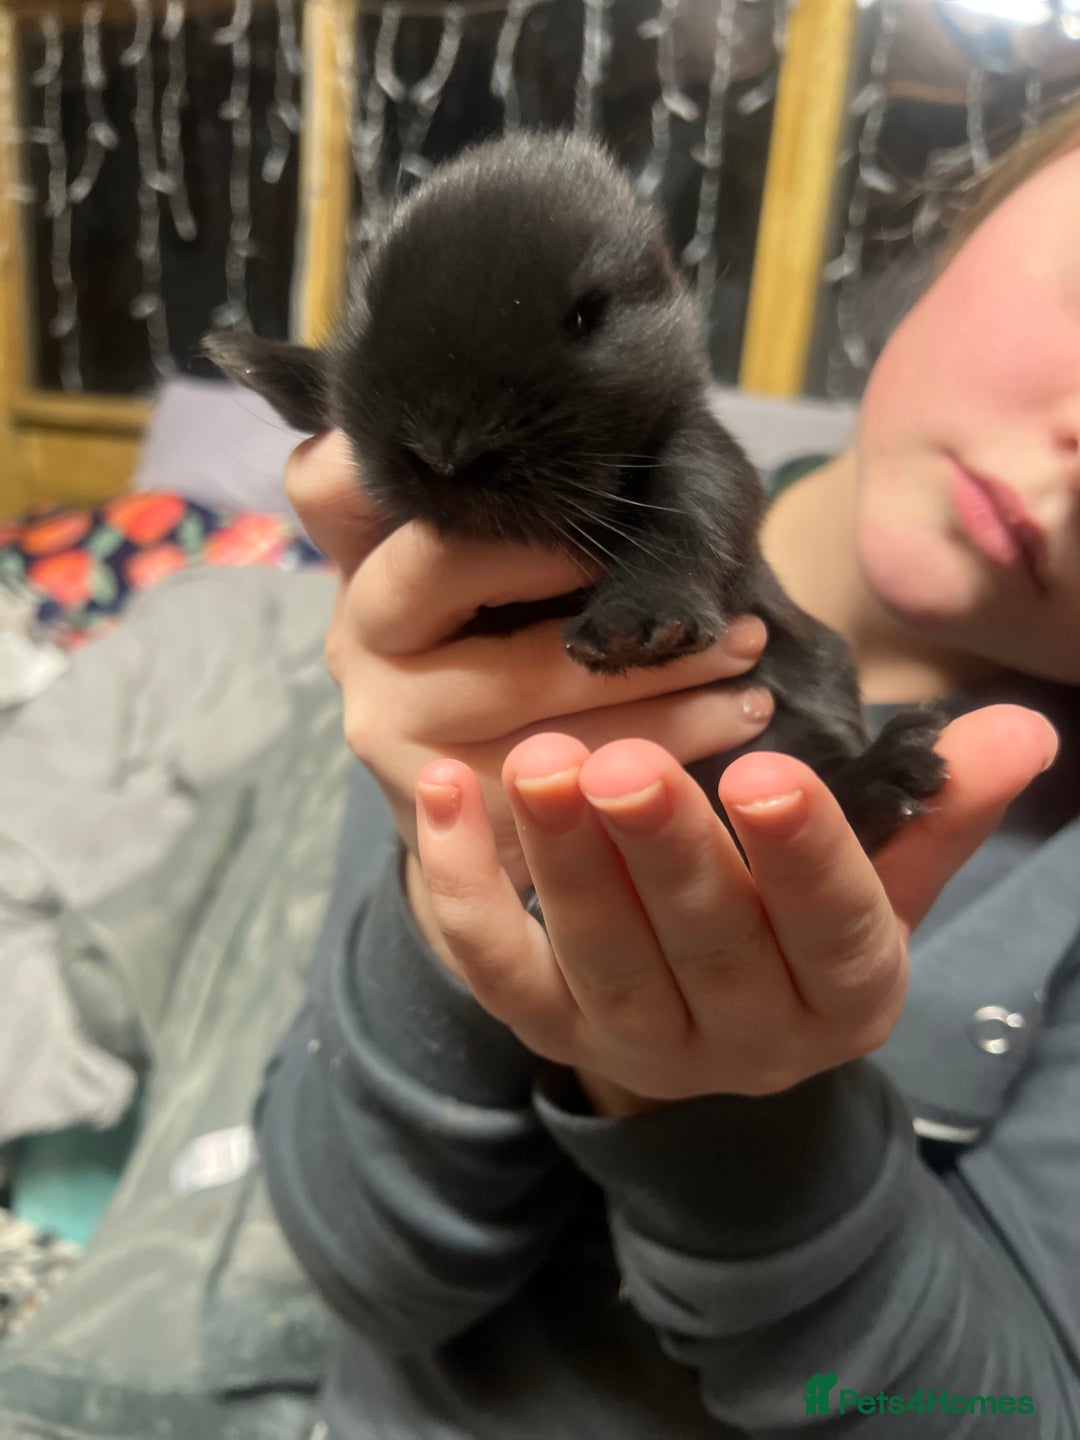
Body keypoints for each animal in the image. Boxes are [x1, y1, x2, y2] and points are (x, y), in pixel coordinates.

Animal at [205, 129, 946, 909]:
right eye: (371, 308)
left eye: (587, 316)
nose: (445, 453)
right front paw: (253, 358)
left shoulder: (699, 455)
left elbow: (688, 513)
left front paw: (635, 627)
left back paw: (888, 773)